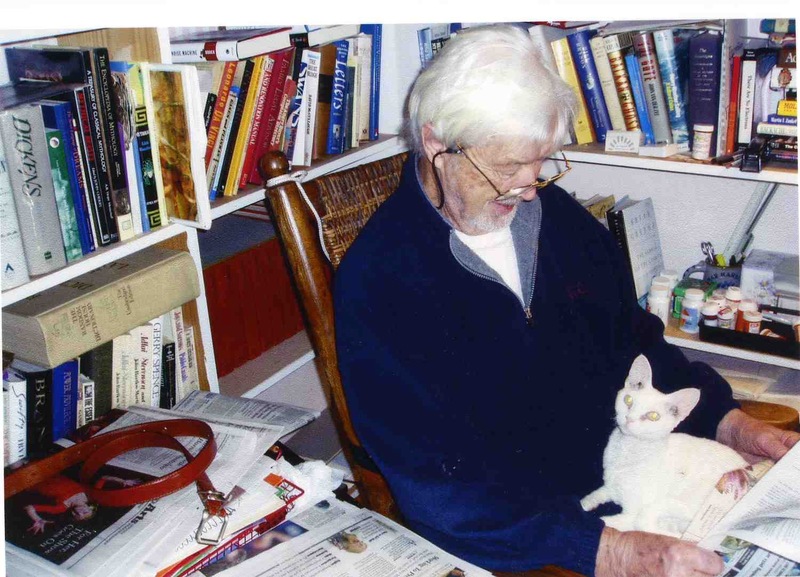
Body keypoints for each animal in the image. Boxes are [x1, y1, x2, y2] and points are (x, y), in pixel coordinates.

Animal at [580, 354, 748, 538]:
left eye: (653, 416)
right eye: (628, 400)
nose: (629, 418)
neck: (627, 451)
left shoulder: (631, 515)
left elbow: (607, 522)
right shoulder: (610, 486)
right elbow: (597, 494)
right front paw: (586, 503)